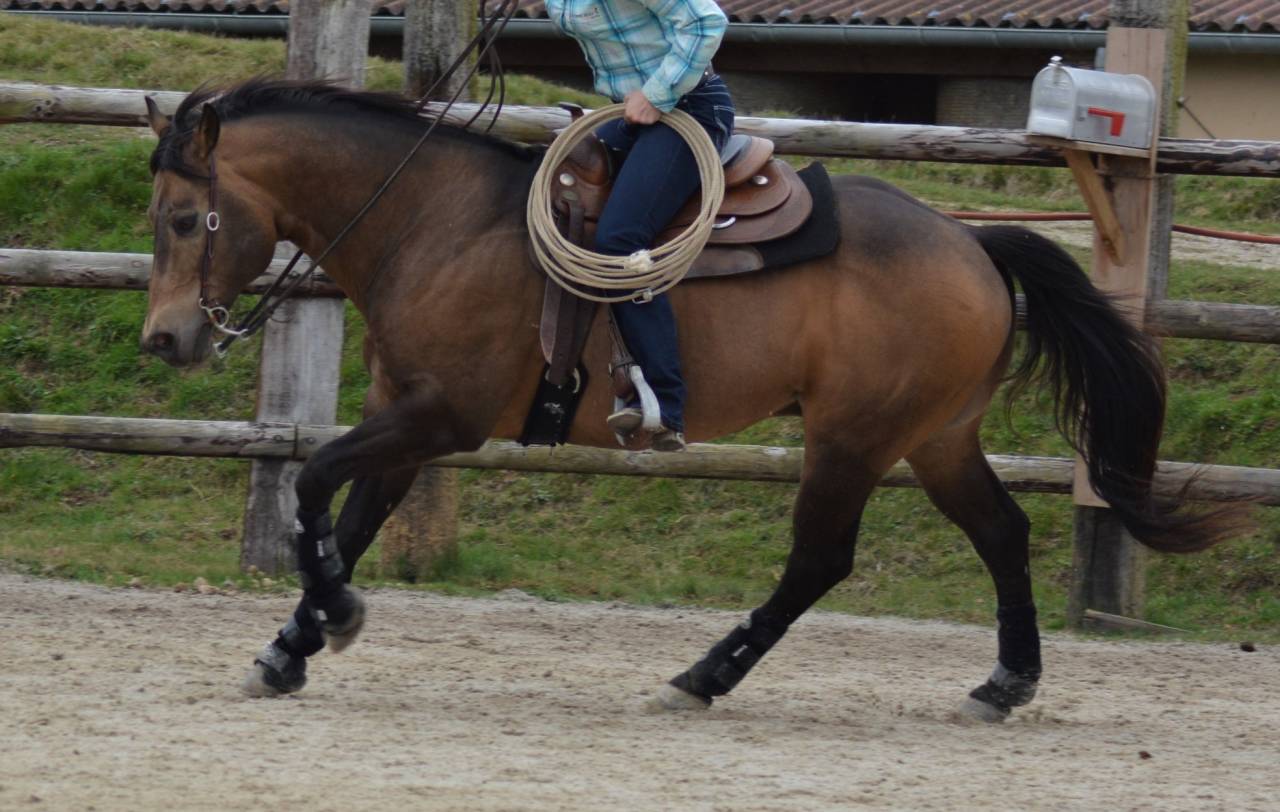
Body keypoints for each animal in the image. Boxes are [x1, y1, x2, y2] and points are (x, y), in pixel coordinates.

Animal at [140, 78, 1242, 722]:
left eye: (188, 218)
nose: (166, 337)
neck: (436, 220)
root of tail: (971, 240)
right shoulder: (408, 418)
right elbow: (349, 516)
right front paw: (291, 647)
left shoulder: (439, 415)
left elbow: (312, 485)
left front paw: (332, 619)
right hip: (935, 436)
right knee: (1003, 532)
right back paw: (1004, 682)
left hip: (852, 438)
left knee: (819, 559)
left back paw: (704, 675)